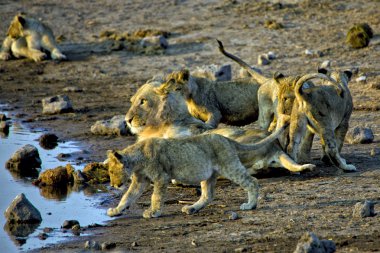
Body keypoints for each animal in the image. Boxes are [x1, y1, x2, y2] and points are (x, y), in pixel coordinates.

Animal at [105, 125, 286, 218]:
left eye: (113, 172)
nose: (113, 185)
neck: (137, 160)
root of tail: (226, 139)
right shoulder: (139, 180)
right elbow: (127, 196)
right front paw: (116, 210)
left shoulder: (161, 177)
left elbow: (155, 196)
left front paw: (153, 212)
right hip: (209, 175)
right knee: (208, 195)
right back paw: (191, 208)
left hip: (229, 166)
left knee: (252, 182)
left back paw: (250, 205)